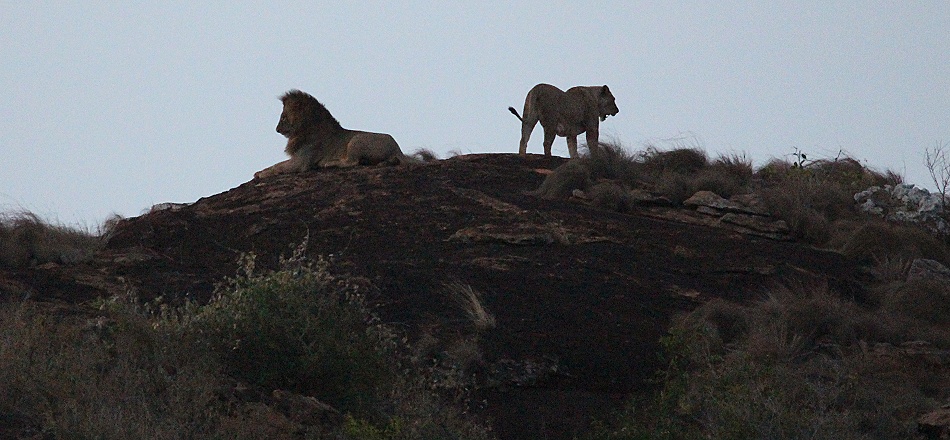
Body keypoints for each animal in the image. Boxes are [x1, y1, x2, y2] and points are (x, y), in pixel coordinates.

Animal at [255, 89, 415, 179]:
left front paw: (261, 175)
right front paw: (259, 172)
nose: (277, 129)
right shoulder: (298, 157)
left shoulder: (302, 162)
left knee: (352, 162)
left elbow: (279, 167)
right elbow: (276, 164)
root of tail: (397, 147)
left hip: (356, 140)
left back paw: (329, 163)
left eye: (283, 117)